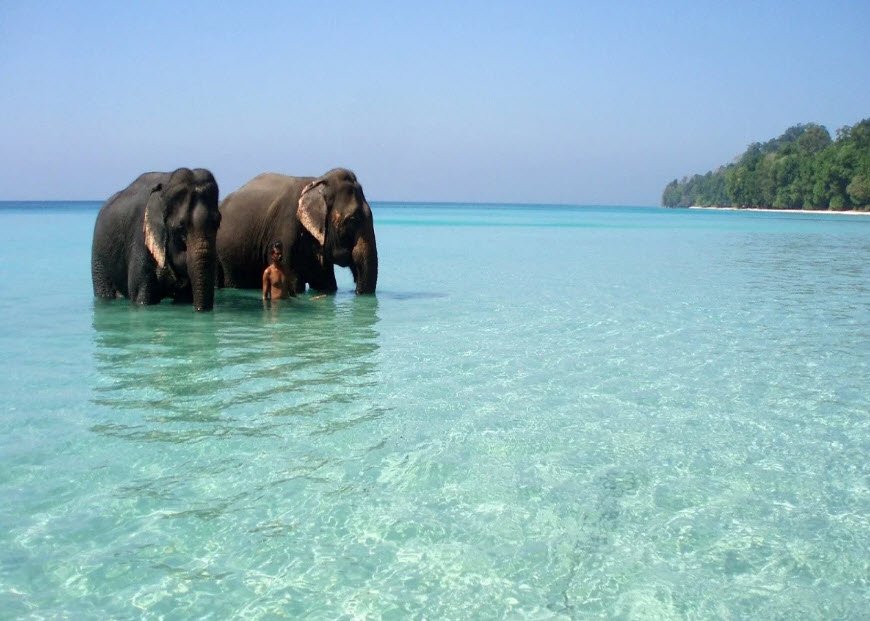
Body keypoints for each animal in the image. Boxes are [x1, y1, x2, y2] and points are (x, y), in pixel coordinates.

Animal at [91, 168, 221, 311]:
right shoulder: (141, 236)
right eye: (181, 226)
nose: (200, 311)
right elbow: (141, 297)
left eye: (218, 222)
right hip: (99, 260)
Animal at [217, 168, 378, 295]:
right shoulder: (285, 230)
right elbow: (293, 283)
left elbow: (326, 283)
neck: (317, 183)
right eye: (353, 219)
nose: (355, 291)